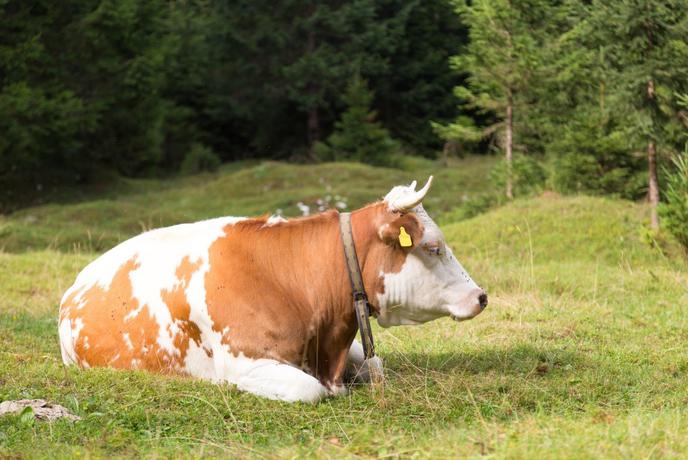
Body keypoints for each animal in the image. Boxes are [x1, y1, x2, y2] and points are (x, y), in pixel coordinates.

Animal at [60, 178, 490, 400]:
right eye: (433, 247)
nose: (481, 296)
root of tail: (77, 283)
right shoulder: (246, 363)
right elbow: (310, 390)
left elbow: (375, 366)